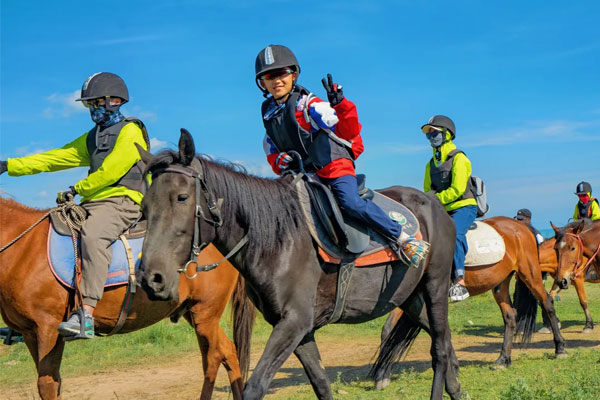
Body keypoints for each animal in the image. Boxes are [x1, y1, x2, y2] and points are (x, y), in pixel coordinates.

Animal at [0, 198, 254, 400]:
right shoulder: (30, 333)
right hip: (195, 313)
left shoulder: (48, 328)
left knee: (214, 358)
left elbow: (47, 385)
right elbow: (54, 383)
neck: (24, 248)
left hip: (205, 312)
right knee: (227, 352)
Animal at [376, 217, 568, 390]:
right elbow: (388, 330)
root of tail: (520, 225)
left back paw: (560, 349)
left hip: (530, 273)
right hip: (501, 283)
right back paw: (503, 359)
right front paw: (382, 375)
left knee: (547, 303)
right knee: (510, 316)